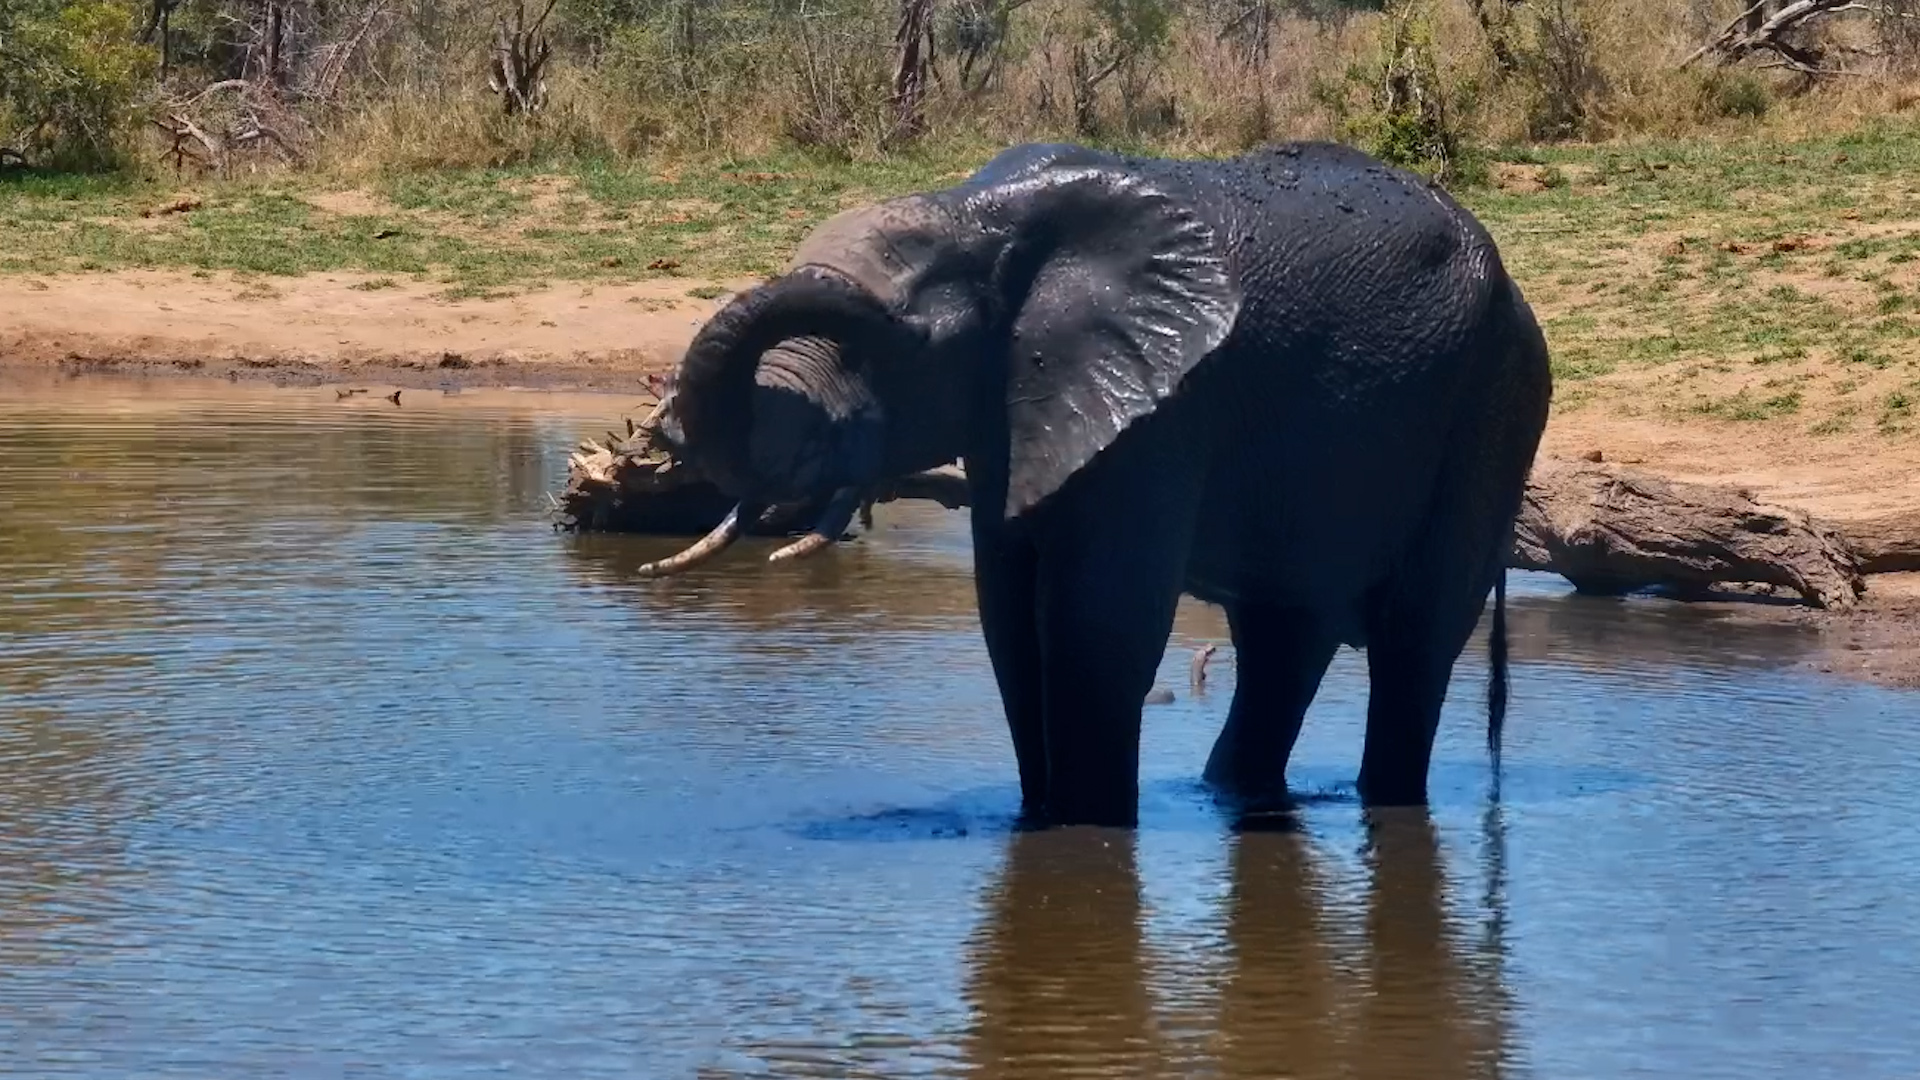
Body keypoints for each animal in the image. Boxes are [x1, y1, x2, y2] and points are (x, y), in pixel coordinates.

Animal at [639, 139, 1554, 826]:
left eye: (903, 345)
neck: (975, 206)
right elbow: (1011, 624)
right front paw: (1038, 825)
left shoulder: (1169, 409)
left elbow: (1097, 628)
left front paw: (1083, 831)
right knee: (1283, 638)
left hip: (1494, 404)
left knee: (1411, 640)